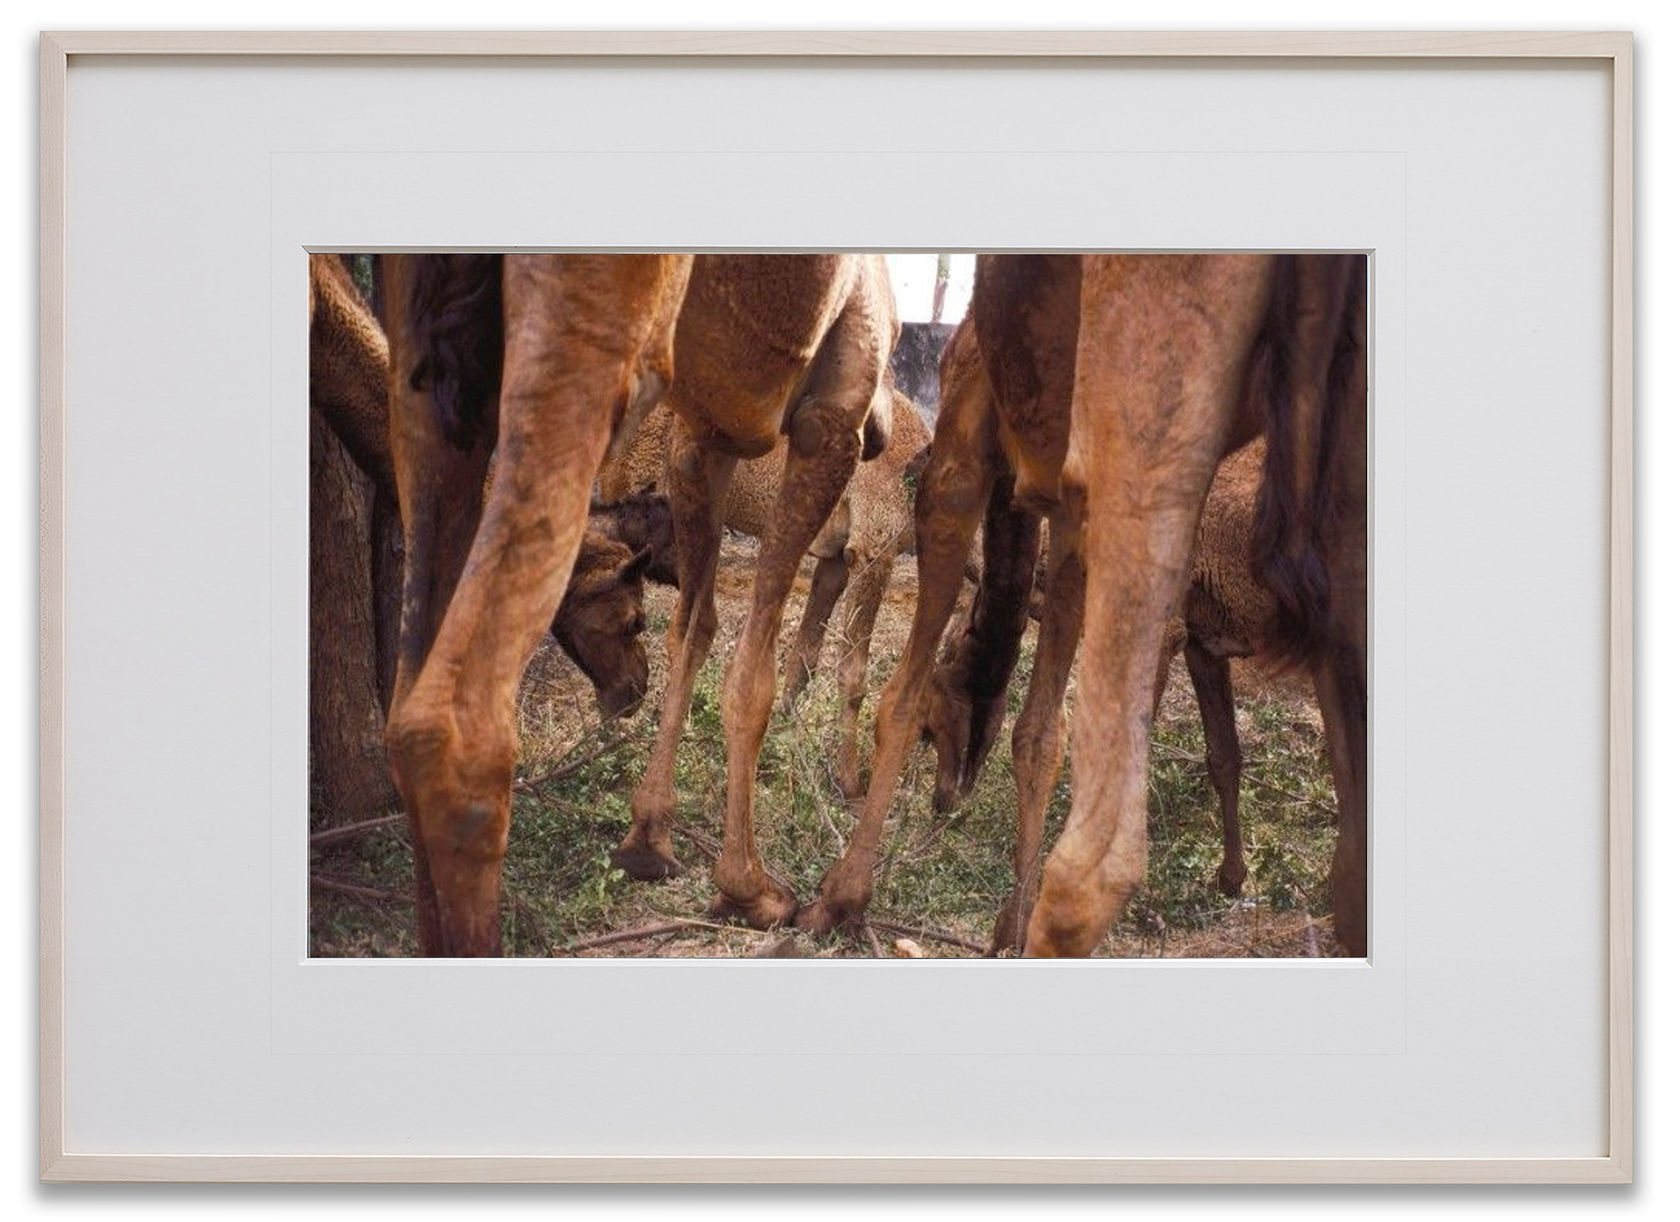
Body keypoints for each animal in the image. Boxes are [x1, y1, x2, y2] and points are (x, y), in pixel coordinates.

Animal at [594, 385, 930, 798]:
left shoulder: (835, 558)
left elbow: (805, 656)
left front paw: (785, 741)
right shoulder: (874, 547)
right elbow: (854, 673)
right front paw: (848, 783)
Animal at [608, 254, 898, 930]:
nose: (884, 430)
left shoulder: (700, 434)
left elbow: (692, 629)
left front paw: (648, 836)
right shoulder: (826, 422)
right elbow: (750, 668)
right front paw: (748, 886)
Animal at [798, 253, 1366, 958]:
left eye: (941, 716)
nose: (946, 798)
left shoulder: (963, 448)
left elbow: (902, 695)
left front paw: (840, 896)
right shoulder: (1072, 509)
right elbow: (1044, 733)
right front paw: (1008, 924)